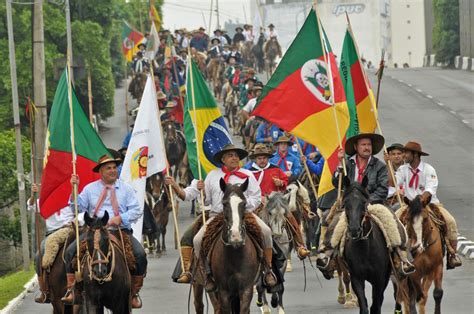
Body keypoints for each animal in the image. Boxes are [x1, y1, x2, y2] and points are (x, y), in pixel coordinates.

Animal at [342, 177, 390, 314]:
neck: (365, 250)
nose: (354, 230)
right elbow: (364, 306)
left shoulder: (379, 280)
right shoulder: (356, 278)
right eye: (346, 203)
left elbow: (375, 306)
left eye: (364, 202)